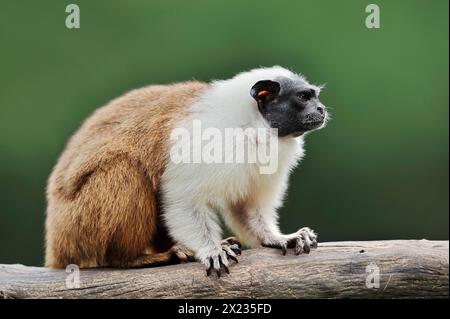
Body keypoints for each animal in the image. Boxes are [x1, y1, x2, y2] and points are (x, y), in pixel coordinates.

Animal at [44, 66, 326, 276]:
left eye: (315, 96)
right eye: (303, 98)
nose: (321, 109)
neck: (250, 126)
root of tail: (56, 244)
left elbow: (245, 207)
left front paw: (279, 238)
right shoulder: (208, 140)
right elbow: (182, 199)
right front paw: (211, 250)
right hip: (78, 224)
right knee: (126, 167)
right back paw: (132, 258)